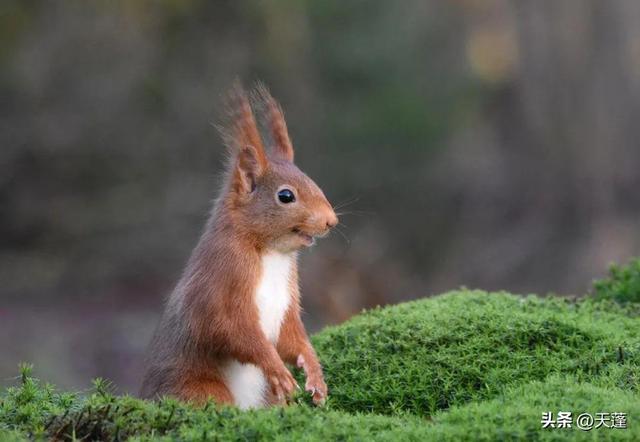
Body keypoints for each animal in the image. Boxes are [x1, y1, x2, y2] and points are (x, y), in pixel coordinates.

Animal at [139, 82, 340, 408]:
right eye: (286, 196)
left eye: (313, 181)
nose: (330, 221)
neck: (272, 253)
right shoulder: (221, 281)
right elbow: (229, 329)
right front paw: (277, 369)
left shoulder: (287, 303)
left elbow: (293, 338)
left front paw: (315, 374)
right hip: (201, 390)